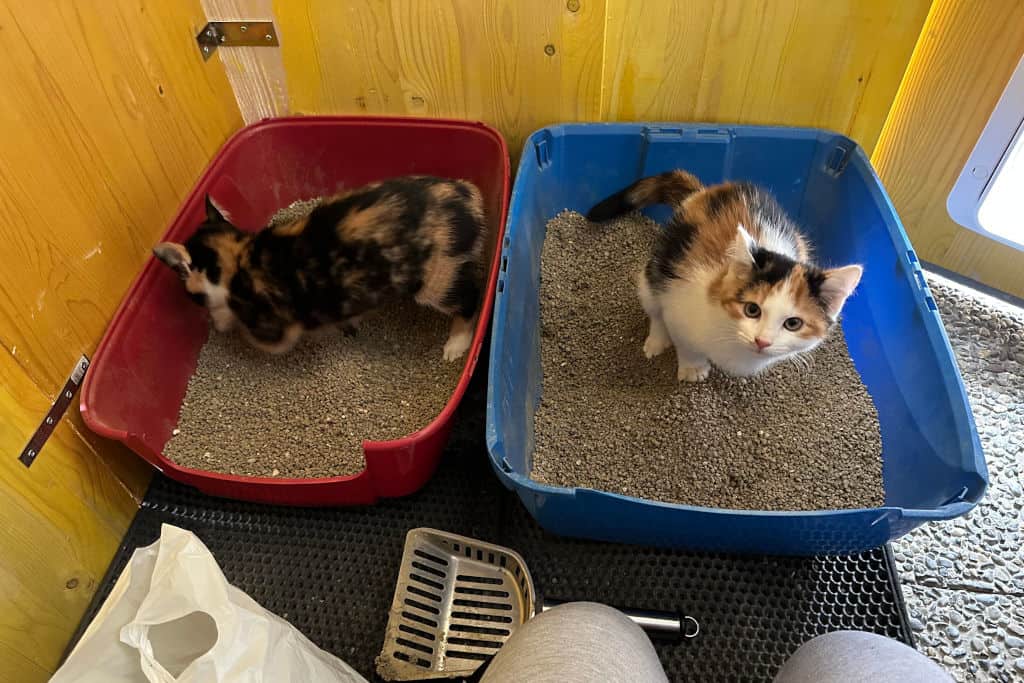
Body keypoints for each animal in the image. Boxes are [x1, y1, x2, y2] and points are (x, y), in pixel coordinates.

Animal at [153, 175, 485, 362]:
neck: (240, 253)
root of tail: (467, 197)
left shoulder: (278, 329)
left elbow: (256, 333)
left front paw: (223, 323)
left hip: (435, 279)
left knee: (470, 297)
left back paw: (456, 345)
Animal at [589, 169, 860, 382]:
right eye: (752, 309)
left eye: (793, 323)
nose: (762, 341)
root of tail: (704, 192)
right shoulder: (679, 307)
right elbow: (684, 342)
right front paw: (693, 369)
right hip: (656, 269)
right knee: (654, 307)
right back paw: (656, 341)